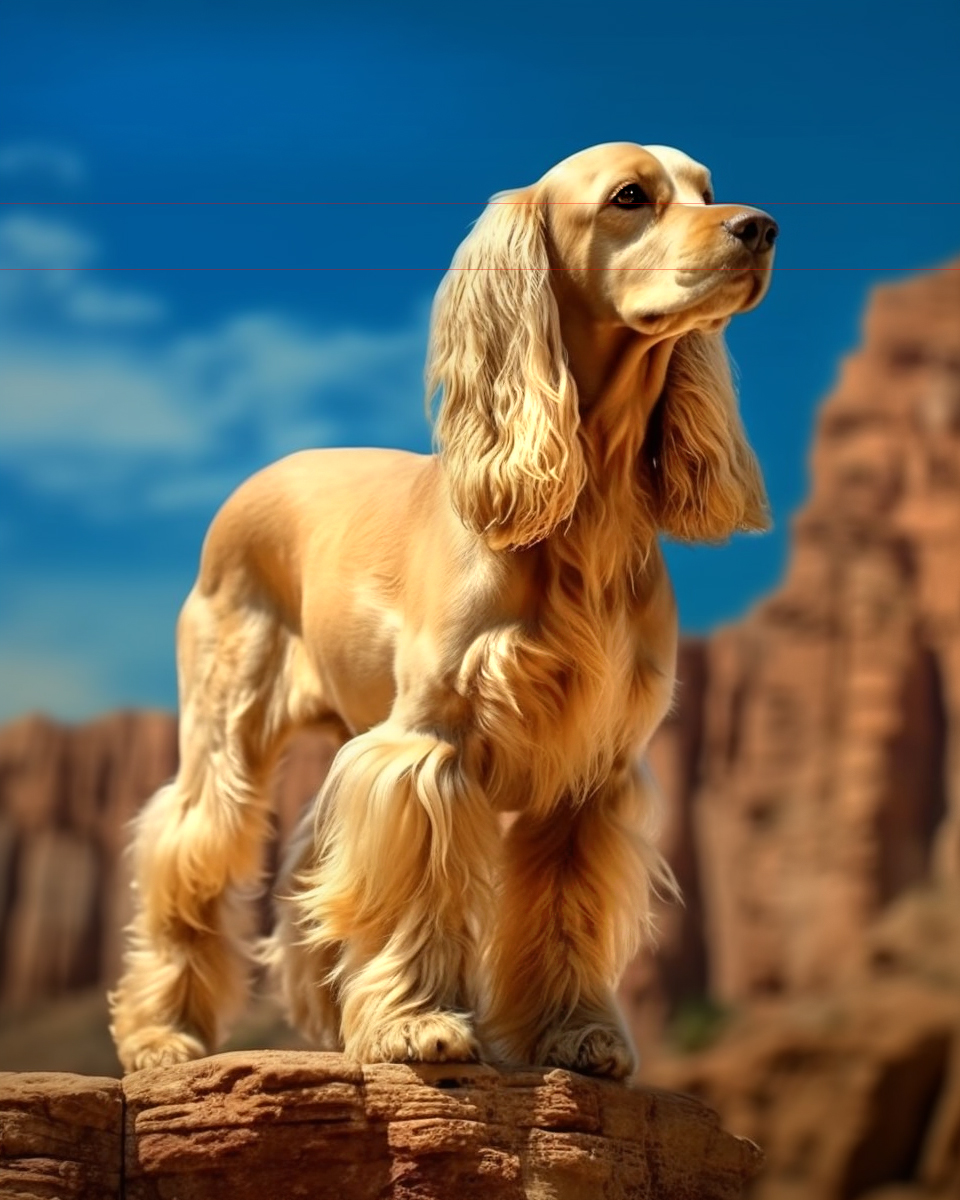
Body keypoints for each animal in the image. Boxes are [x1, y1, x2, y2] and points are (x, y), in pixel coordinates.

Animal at [108, 140, 777, 1080]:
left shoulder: (593, 769)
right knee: (186, 846)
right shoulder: (430, 744)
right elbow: (419, 886)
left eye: (708, 189)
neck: (589, 510)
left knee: (307, 857)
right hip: (227, 723)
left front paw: (578, 1033)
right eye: (629, 197)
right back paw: (162, 1035)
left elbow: (565, 909)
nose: (761, 228)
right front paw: (415, 1024)